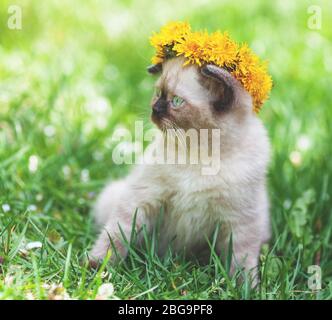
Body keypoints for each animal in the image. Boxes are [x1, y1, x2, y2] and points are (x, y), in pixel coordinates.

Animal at [89, 56, 272, 284]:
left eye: (176, 101)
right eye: (158, 93)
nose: (155, 109)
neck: (199, 153)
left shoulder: (240, 221)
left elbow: (242, 261)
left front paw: (244, 287)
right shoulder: (142, 200)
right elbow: (114, 236)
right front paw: (97, 268)